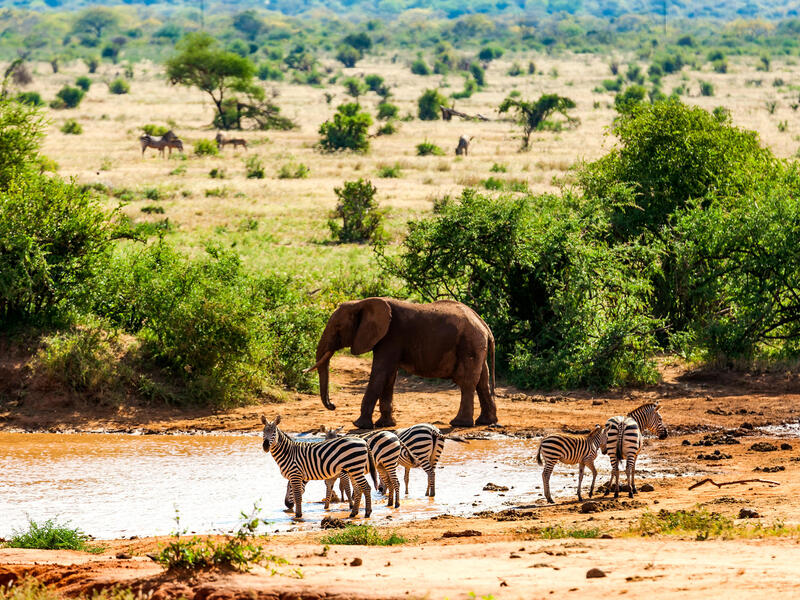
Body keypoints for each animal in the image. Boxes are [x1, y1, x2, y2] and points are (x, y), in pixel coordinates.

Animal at [304, 298, 496, 428]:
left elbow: (380, 373)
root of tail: (485, 326)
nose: (333, 406)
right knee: (483, 382)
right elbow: (389, 377)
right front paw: (386, 425)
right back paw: (486, 421)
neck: (361, 303)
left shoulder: (391, 336)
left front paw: (359, 425)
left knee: (467, 382)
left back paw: (459, 423)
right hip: (476, 346)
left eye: (337, 328)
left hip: (469, 344)